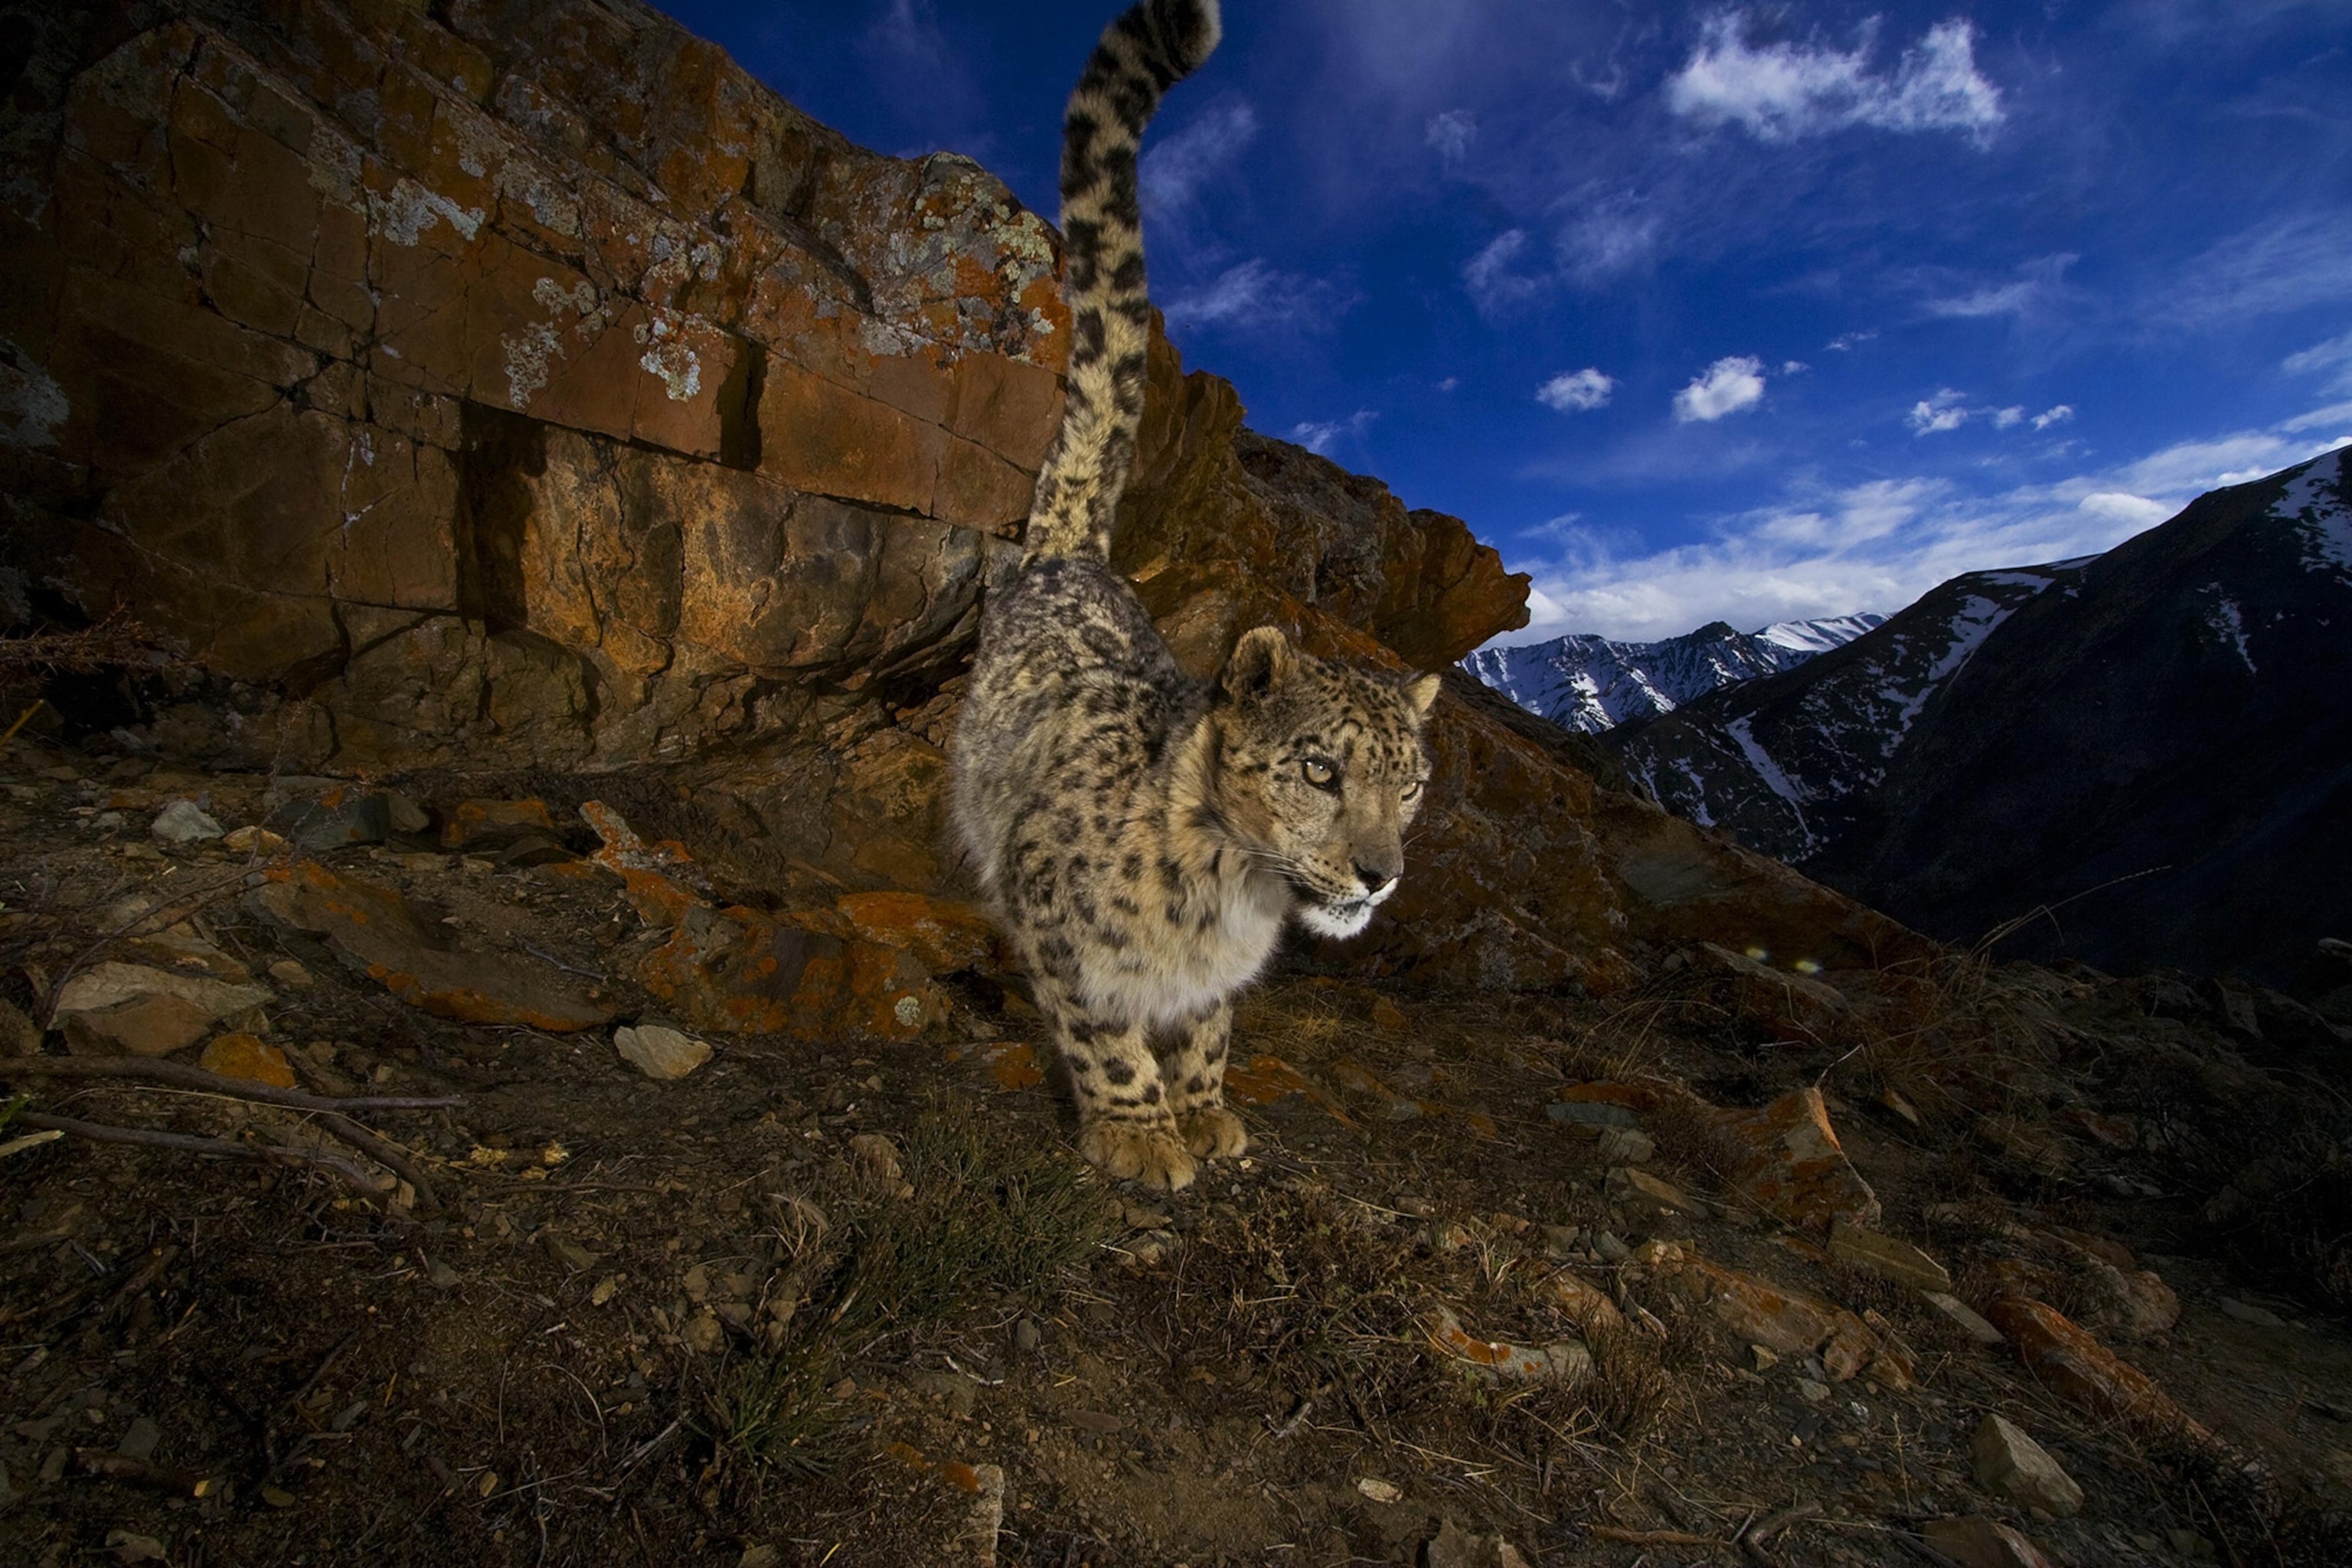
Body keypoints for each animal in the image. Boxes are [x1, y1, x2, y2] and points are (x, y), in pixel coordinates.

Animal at [948, 0, 1441, 1192]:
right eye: (1320, 769)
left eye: (1410, 785)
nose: (1379, 876)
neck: (1238, 898)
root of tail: (1072, 559)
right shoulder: (1056, 918)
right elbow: (1102, 1027)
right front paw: (1140, 1133)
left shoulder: (1219, 978)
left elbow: (1207, 1021)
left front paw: (1207, 1108)